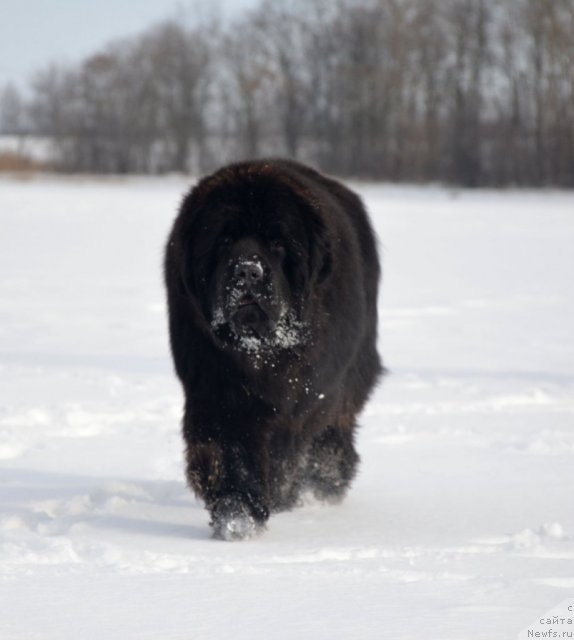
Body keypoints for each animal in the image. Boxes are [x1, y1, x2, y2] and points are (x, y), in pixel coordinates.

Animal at [164, 160, 384, 540]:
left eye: (278, 243)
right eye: (224, 241)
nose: (248, 272)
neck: (262, 352)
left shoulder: (308, 397)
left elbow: (287, 448)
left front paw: (272, 499)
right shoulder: (219, 389)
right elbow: (232, 449)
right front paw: (237, 516)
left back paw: (324, 482)